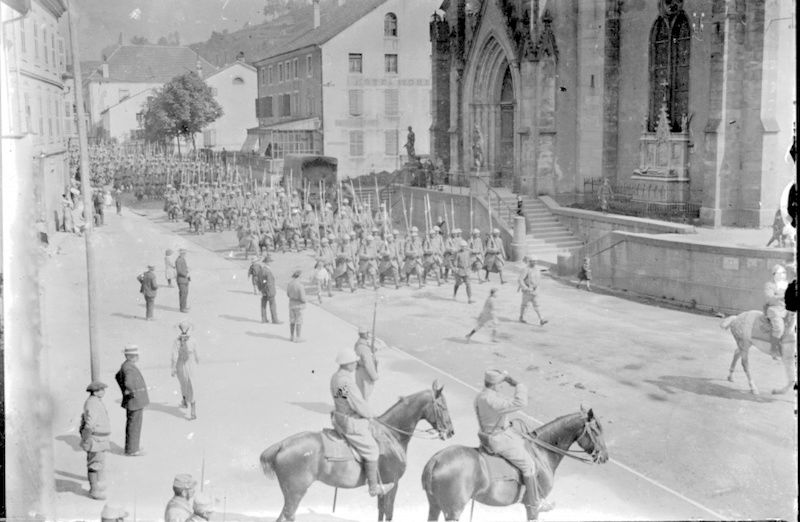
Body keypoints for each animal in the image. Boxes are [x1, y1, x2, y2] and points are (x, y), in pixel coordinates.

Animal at [260, 378, 454, 520]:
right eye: (442, 406)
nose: (451, 431)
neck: (391, 434)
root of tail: (282, 445)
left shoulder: (385, 489)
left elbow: (381, 513)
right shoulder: (393, 484)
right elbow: (389, 513)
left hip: (290, 493)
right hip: (296, 492)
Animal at [418, 406, 608, 520]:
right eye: (596, 430)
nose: (605, 457)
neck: (541, 452)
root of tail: (436, 460)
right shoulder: (533, 507)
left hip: (434, 505)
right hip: (453, 511)